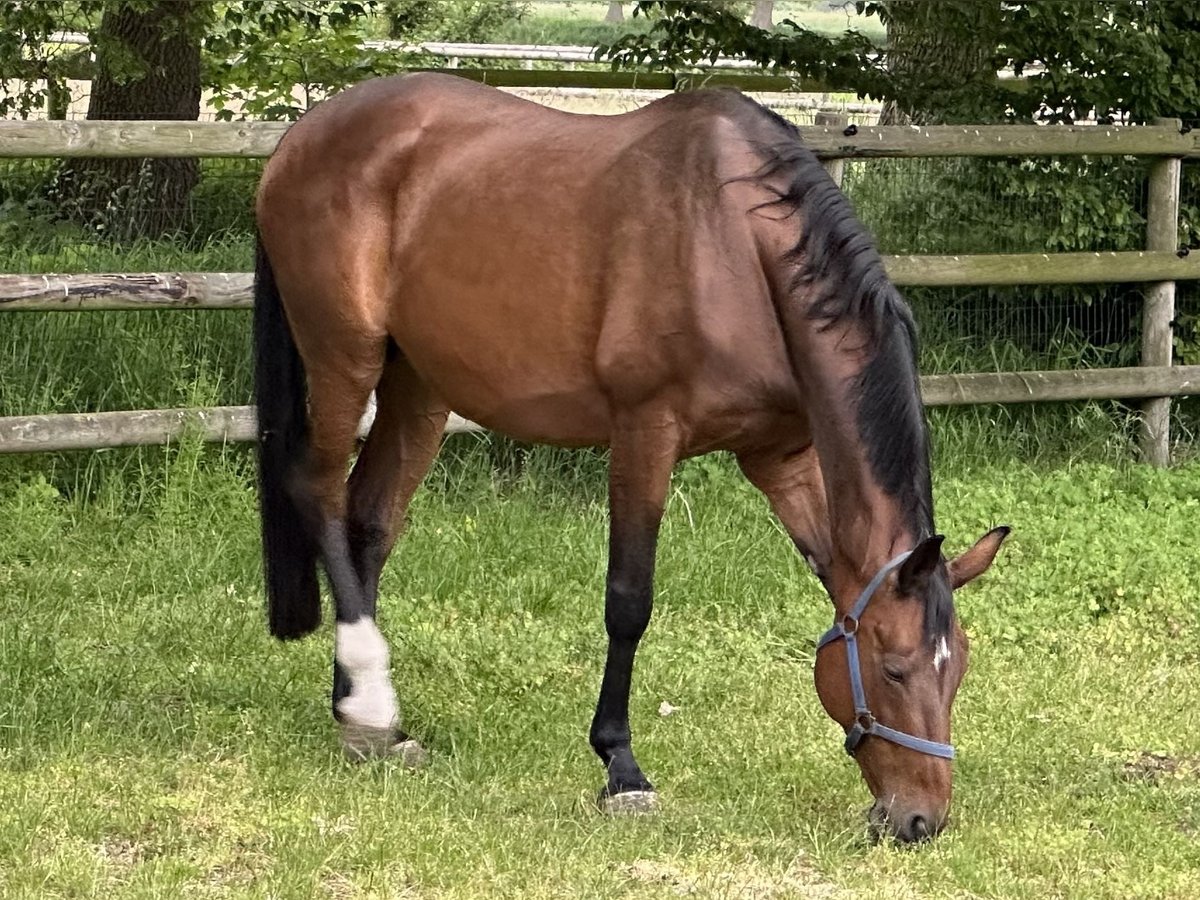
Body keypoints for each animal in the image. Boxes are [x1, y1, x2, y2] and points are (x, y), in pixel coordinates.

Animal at [255, 72, 1012, 844]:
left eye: (957, 670)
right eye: (893, 670)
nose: (919, 818)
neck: (738, 249)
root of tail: (303, 136)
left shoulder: (781, 459)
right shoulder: (646, 432)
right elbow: (629, 601)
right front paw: (621, 765)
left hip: (417, 384)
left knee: (370, 521)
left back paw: (361, 715)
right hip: (344, 356)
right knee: (318, 490)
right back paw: (371, 705)